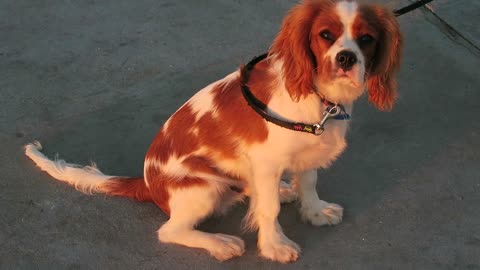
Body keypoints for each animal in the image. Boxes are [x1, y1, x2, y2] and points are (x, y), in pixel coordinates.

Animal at [25, 0, 402, 264]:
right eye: (325, 35)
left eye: (366, 39)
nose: (346, 59)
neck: (320, 97)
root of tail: (146, 183)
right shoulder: (266, 162)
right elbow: (268, 211)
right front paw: (275, 245)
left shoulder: (310, 146)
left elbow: (308, 182)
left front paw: (314, 211)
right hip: (203, 188)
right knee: (170, 231)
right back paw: (220, 242)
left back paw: (282, 190)